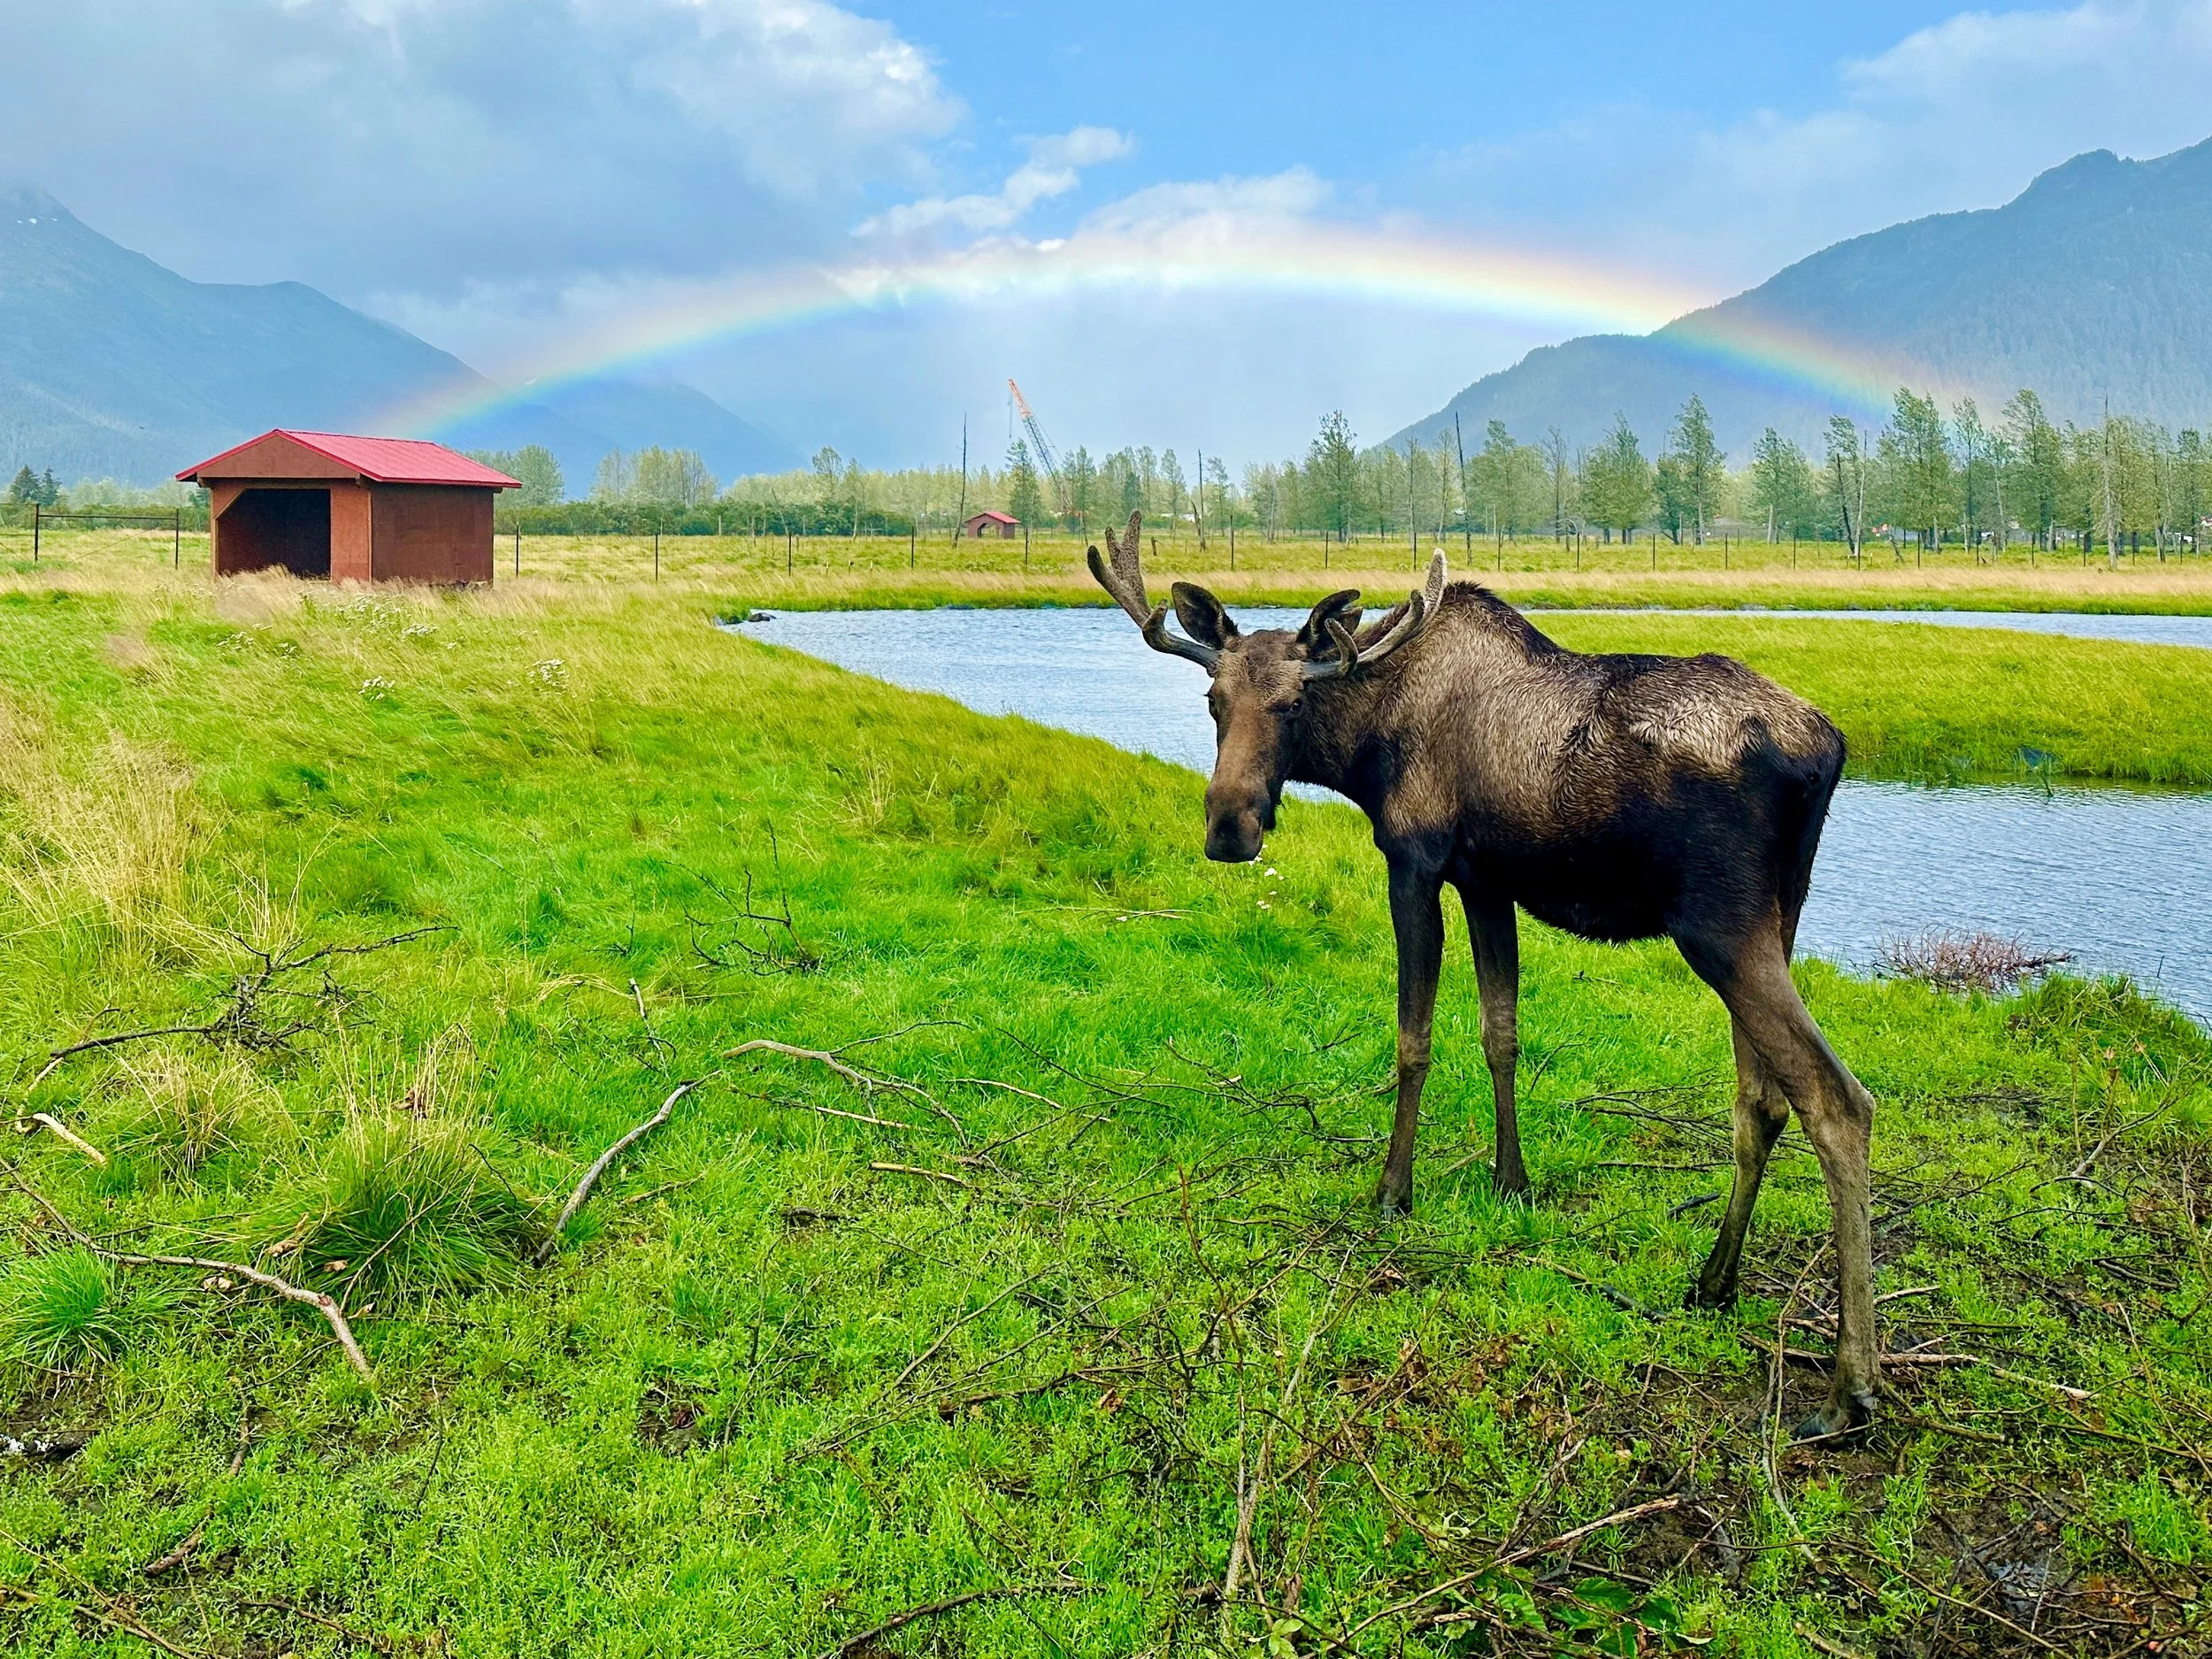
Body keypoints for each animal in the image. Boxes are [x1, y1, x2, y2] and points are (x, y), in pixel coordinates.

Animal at [1087, 512, 1880, 1436]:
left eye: (1293, 704)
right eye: (1214, 701)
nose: (1228, 827)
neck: (1367, 749)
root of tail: (1829, 747)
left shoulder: (1415, 860)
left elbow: (1414, 1038)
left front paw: (1392, 1190)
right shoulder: (1486, 879)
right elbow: (1501, 1031)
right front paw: (1512, 1179)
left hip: (1721, 927)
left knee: (1837, 1100)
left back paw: (1848, 1385)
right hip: (1777, 918)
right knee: (1760, 1101)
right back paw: (1714, 1281)